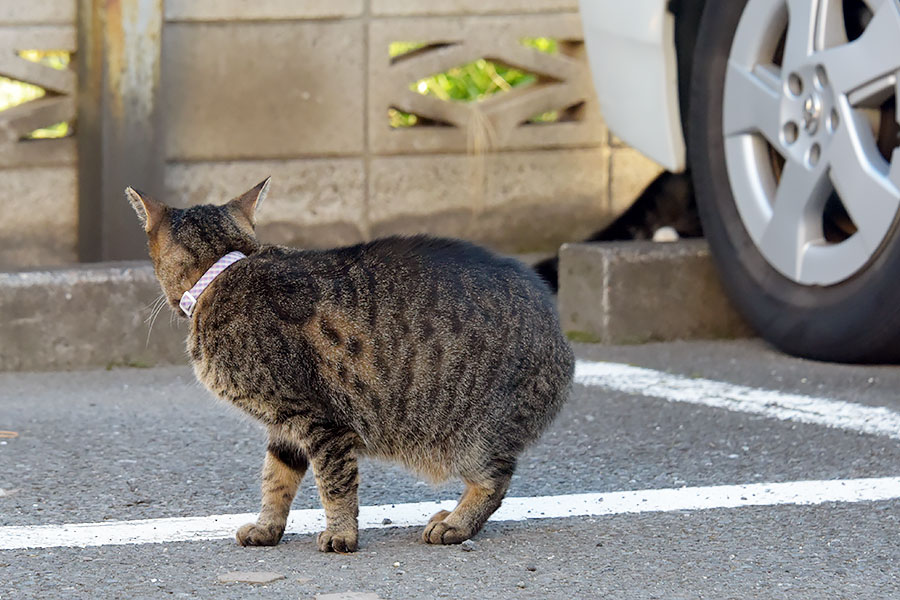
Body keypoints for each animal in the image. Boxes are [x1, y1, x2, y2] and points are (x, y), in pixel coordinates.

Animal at [125, 179, 572, 552]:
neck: (222, 272)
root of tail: (561, 337)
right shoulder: (283, 426)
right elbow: (275, 480)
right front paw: (267, 527)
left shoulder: (320, 420)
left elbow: (335, 484)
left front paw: (341, 534)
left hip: (472, 436)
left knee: (496, 480)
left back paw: (457, 523)